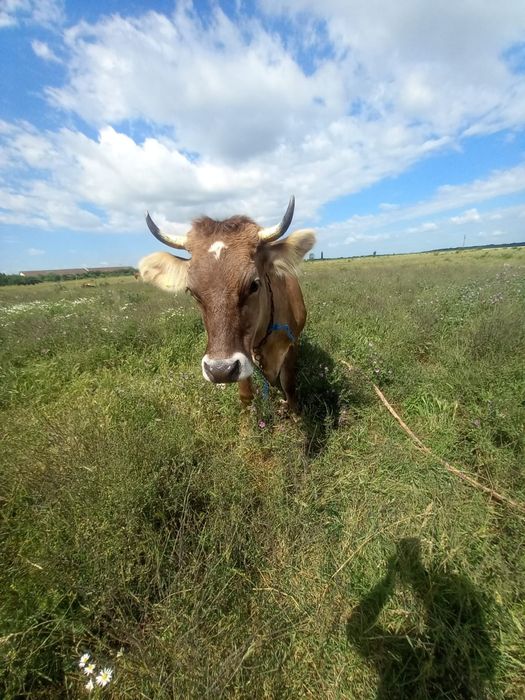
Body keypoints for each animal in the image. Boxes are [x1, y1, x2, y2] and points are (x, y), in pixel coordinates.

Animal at [139, 197, 315, 412]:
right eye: (191, 291)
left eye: (254, 284)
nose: (220, 370)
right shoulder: (243, 359)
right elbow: (246, 395)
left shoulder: (291, 345)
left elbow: (289, 387)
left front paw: (294, 413)